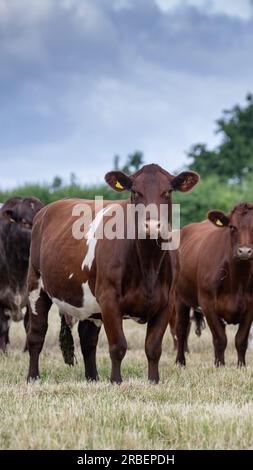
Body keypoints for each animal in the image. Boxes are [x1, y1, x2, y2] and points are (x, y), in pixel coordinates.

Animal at [26, 163, 199, 384]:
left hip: (89, 303)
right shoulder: (109, 300)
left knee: (87, 338)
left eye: (167, 191)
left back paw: (92, 378)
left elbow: (153, 348)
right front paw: (116, 381)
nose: (152, 225)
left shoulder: (166, 303)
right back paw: (33, 377)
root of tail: (47, 209)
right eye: (135, 191)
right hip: (36, 284)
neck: (148, 264)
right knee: (36, 333)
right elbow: (118, 346)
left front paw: (153, 381)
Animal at [175, 202, 253, 368]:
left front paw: (241, 365)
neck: (237, 280)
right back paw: (180, 362)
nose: (244, 251)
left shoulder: (250, 307)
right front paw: (220, 366)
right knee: (181, 329)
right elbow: (220, 339)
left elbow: (241, 340)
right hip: (180, 298)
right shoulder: (207, 303)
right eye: (232, 227)